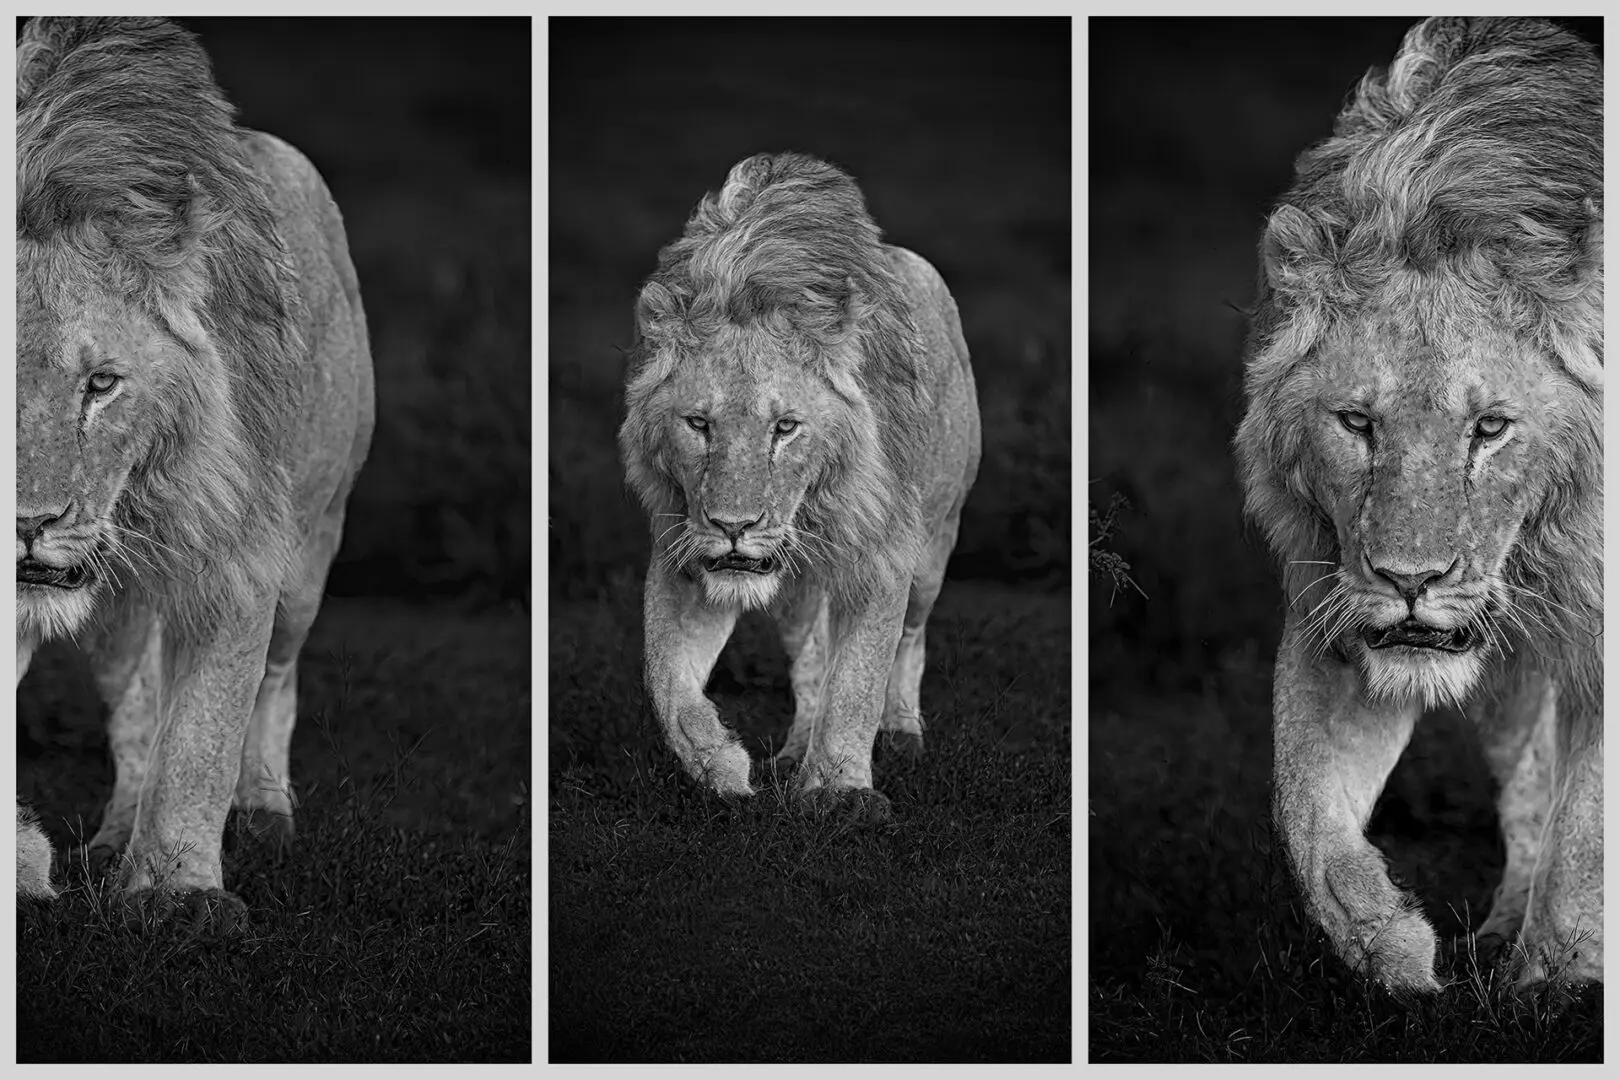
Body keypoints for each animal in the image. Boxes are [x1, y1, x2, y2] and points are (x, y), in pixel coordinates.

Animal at [14, 14, 372, 913]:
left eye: (102, 384)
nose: (30, 525)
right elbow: (162, 725)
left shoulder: (237, 549)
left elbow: (204, 732)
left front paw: (179, 897)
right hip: (111, 614)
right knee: (136, 703)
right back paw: (113, 838)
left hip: (309, 551)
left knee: (275, 682)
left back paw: (265, 812)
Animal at [615, 153, 972, 819]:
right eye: (699, 424)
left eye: (786, 427)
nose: (734, 527)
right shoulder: (682, 550)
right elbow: (664, 679)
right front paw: (720, 766)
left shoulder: (884, 554)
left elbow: (859, 679)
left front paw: (839, 792)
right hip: (794, 590)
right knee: (810, 659)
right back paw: (796, 747)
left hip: (935, 544)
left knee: (909, 639)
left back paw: (902, 730)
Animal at [1231, 19, 1600, 997]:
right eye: (1358, 422)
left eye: (1490, 427)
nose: (1410, 580)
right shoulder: (1333, 601)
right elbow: (1301, 805)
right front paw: (1387, 947)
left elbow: (1588, 835)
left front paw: (1555, 984)